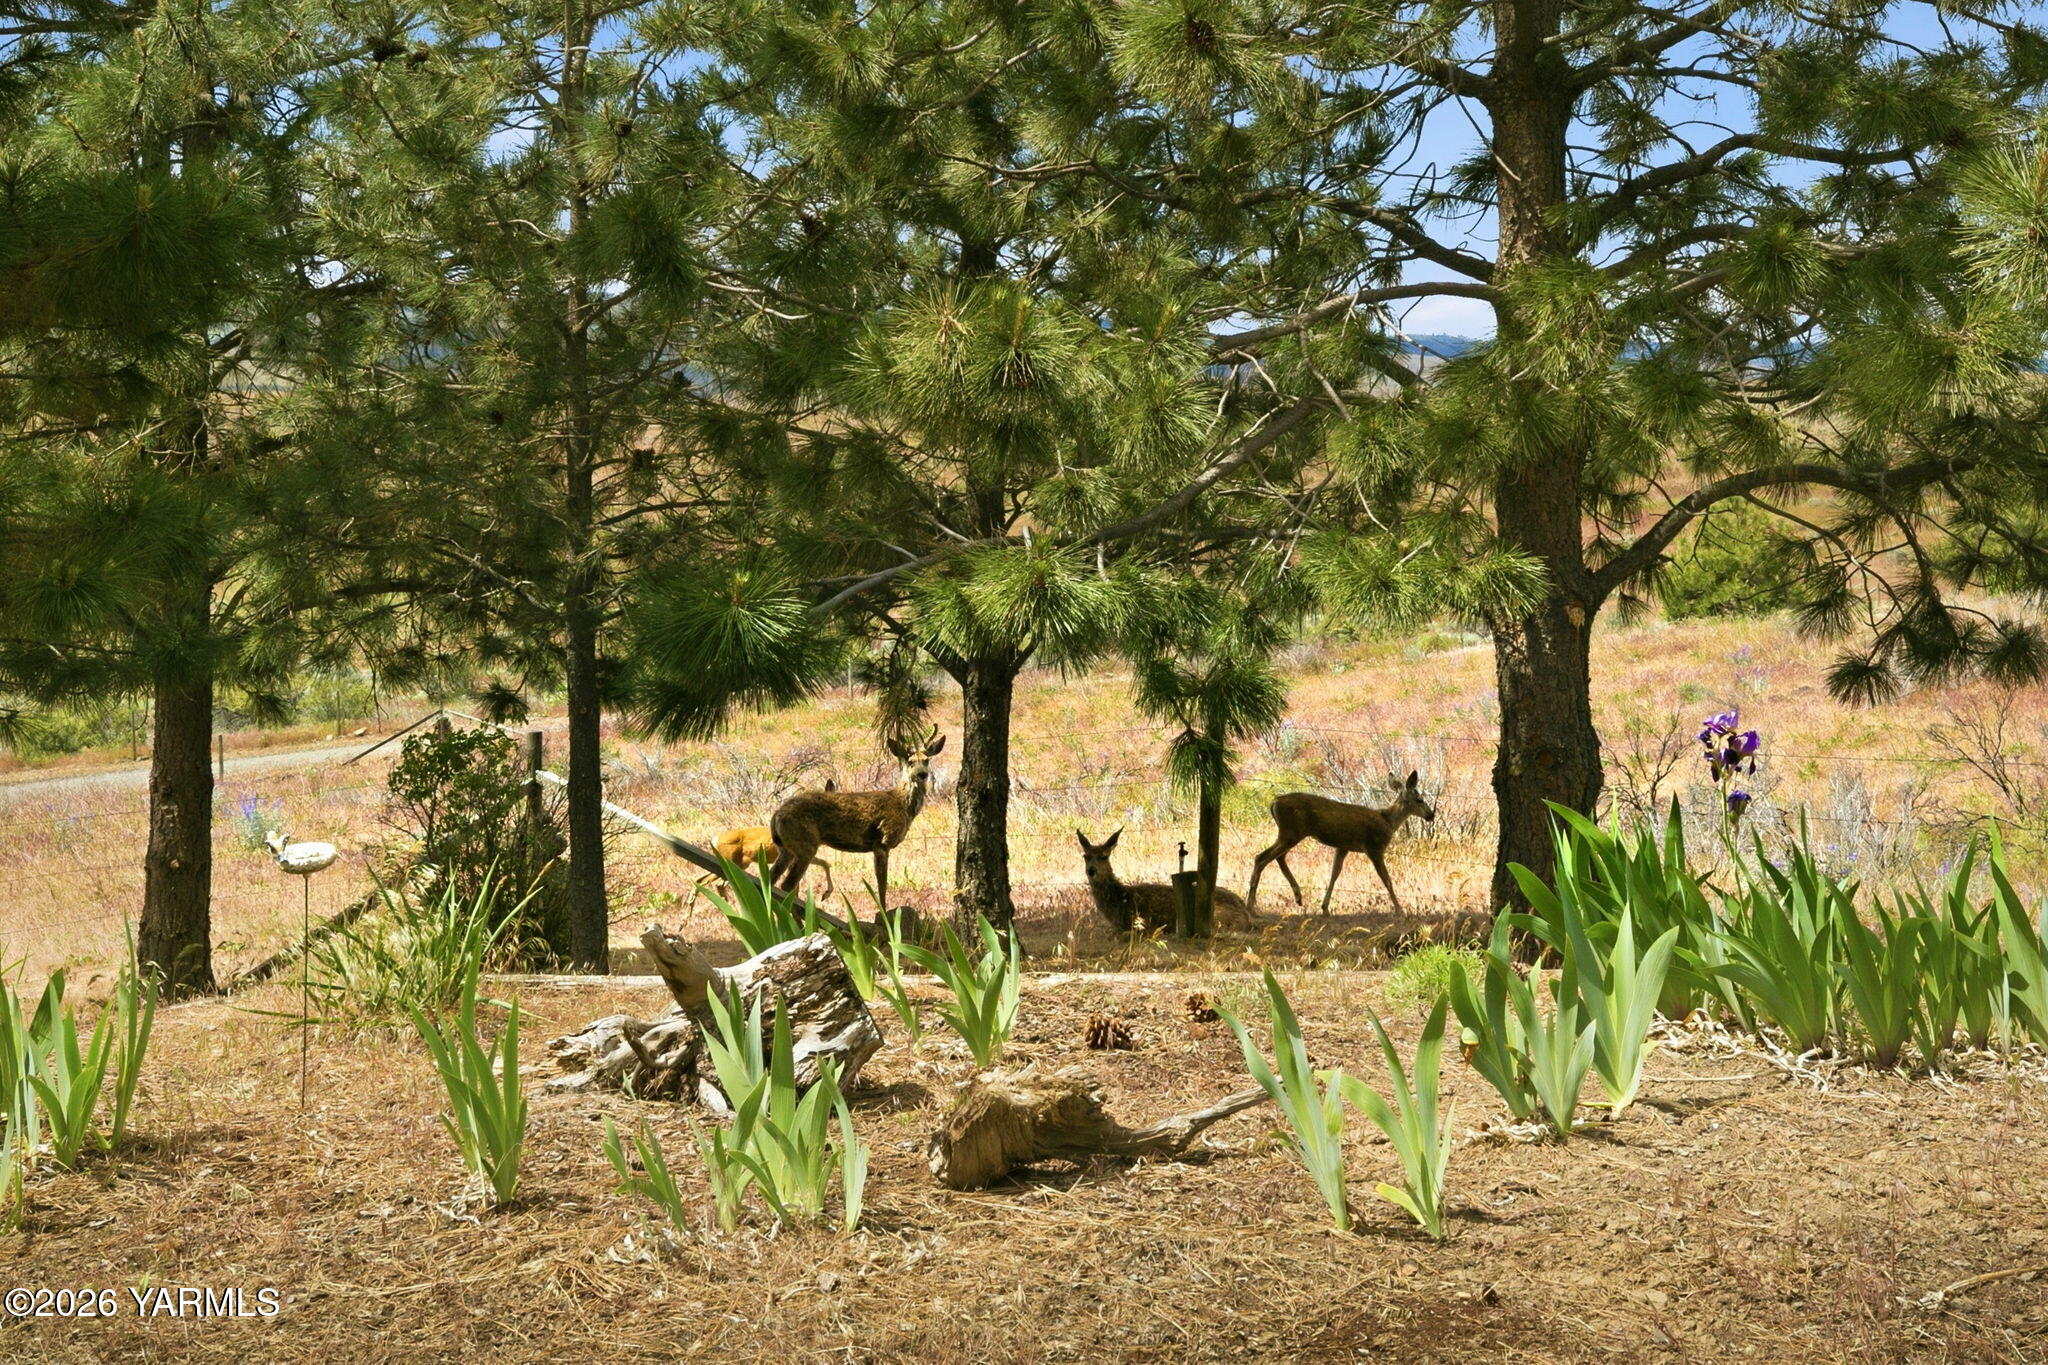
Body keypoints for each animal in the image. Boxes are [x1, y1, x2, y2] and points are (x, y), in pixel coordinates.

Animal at [770, 728, 944, 915]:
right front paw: (884, 914)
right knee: (787, 885)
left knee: (770, 879)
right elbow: (882, 886)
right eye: (910, 762)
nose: (922, 774)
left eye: (926, 760)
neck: (902, 804)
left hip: (786, 848)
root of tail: (776, 815)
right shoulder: (882, 842)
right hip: (804, 844)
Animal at [1076, 828, 1259, 933]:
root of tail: (1246, 913)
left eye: (1104, 856)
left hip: (1217, 917)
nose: (1091, 871)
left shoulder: (1138, 923)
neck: (1120, 899)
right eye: (1085, 856)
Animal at [1246, 771, 1437, 917]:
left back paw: (1298, 896)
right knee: (1261, 857)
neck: (1388, 821)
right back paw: (1251, 907)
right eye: (1420, 799)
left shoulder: (1343, 847)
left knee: (1278, 857)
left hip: (1290, 834)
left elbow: (1334, 874)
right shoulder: (1374, 847)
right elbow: (1387, 880)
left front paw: (1325, 908)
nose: (1431, 815)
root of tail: (1274, 802)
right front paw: (1399, 910)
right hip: (1291, 832)